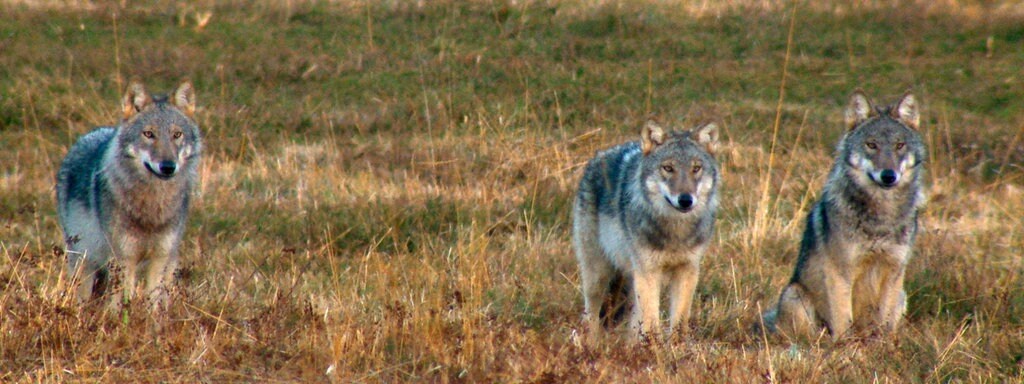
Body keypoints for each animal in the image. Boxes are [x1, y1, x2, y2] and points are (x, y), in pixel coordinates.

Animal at [56, 79, 201, 311]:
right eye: (149, 134)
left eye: (177, 135)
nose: (168, 167)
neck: (152, 207)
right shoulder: (124, 259)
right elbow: (120, 302)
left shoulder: (161, 258)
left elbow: (154, 303)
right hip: (83, 261)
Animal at [577, 120, 720, 342]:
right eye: (668, 168)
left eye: (696, 169)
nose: (685, 200)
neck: (675, 231)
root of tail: (599, 156)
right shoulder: (649, 271)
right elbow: (652, 321)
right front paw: (654, 349)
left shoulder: (688, 269)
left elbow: (679, 322)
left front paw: (677, 348)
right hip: (598, 275)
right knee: (590, 315)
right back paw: (590, 345)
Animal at [770, 91, 929, 342]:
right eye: (871, 145)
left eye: (899, 145)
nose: (888, 176)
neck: (881, 219)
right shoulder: (840, 271)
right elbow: (843, 317)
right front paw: (844, 347)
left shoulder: (894, 271)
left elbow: (884, 321)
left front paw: (882, 346)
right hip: (794, 295)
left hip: (902, 295)